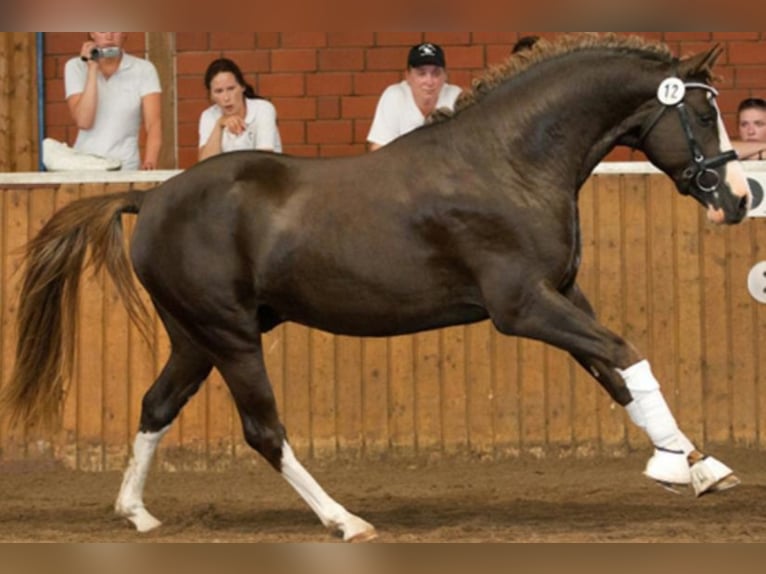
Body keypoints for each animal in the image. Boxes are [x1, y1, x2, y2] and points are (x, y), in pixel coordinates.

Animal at [0, 34, 751, 542]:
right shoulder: (522, 306)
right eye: (701, 117)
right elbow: (625, 356)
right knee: (263, 430)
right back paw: (345, 520)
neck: (509, 160)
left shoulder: (563, 294)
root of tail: (149, 200)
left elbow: (618, 375)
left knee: (157, 405)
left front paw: (695, 465)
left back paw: (137, 513)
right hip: (229, 335)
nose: (740, 199)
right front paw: (684, 466)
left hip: (195, 337)